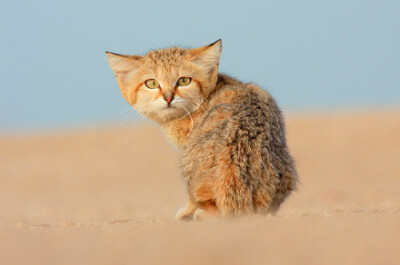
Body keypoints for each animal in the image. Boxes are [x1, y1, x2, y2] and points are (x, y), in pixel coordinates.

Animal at [105, 39, 296, 221]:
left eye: (184, 81)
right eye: (151, 83)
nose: (168, 98)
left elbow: (191, 199)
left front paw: (187, 212)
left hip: (188, 163)